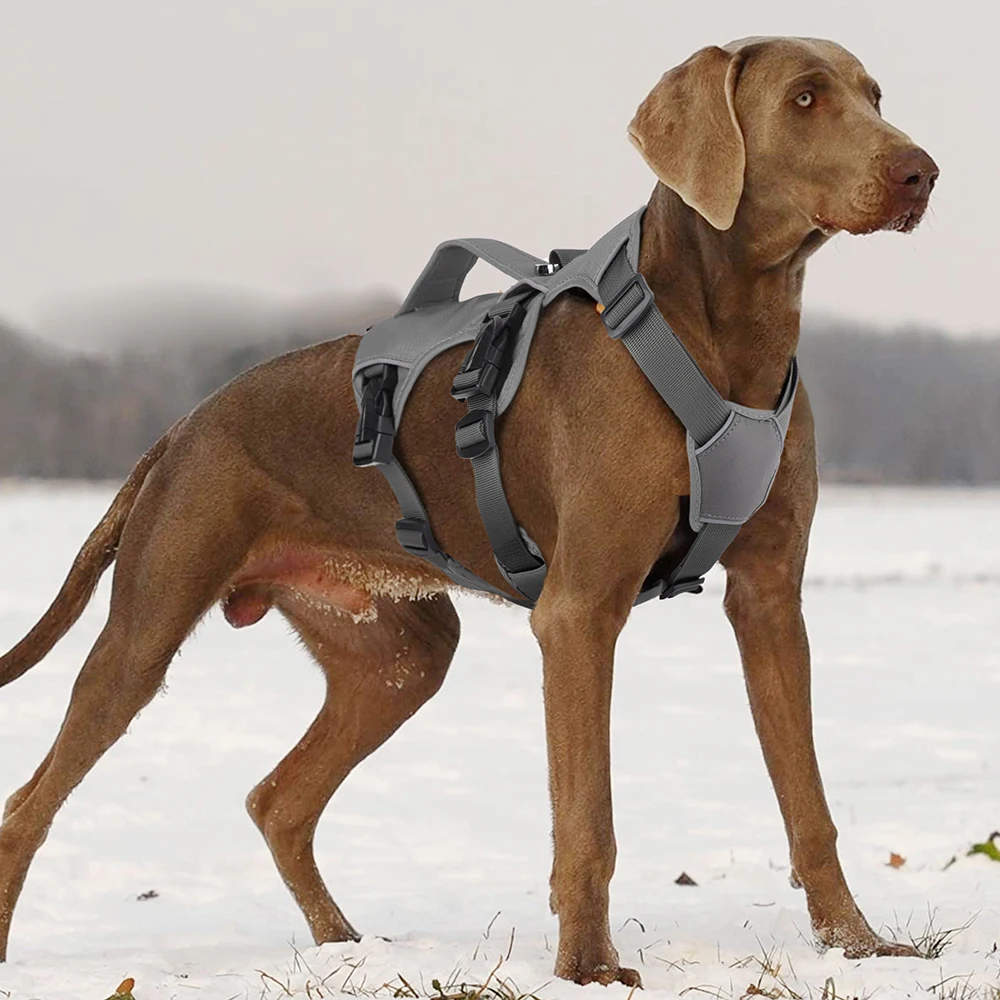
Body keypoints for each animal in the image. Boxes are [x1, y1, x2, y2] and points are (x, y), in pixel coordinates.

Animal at [0, 37, 936, 984]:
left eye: (875, 95)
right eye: (805, 98)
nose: (922, 173)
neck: (728, 331)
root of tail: (182, 426)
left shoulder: (769, 600)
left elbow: (807, 801)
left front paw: (859, 945)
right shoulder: (579, 613)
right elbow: (587, 818)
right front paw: (588, 969)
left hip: (399, 655)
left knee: (278, 801)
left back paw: (344, 947)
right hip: (145, 633)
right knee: (28, 807)